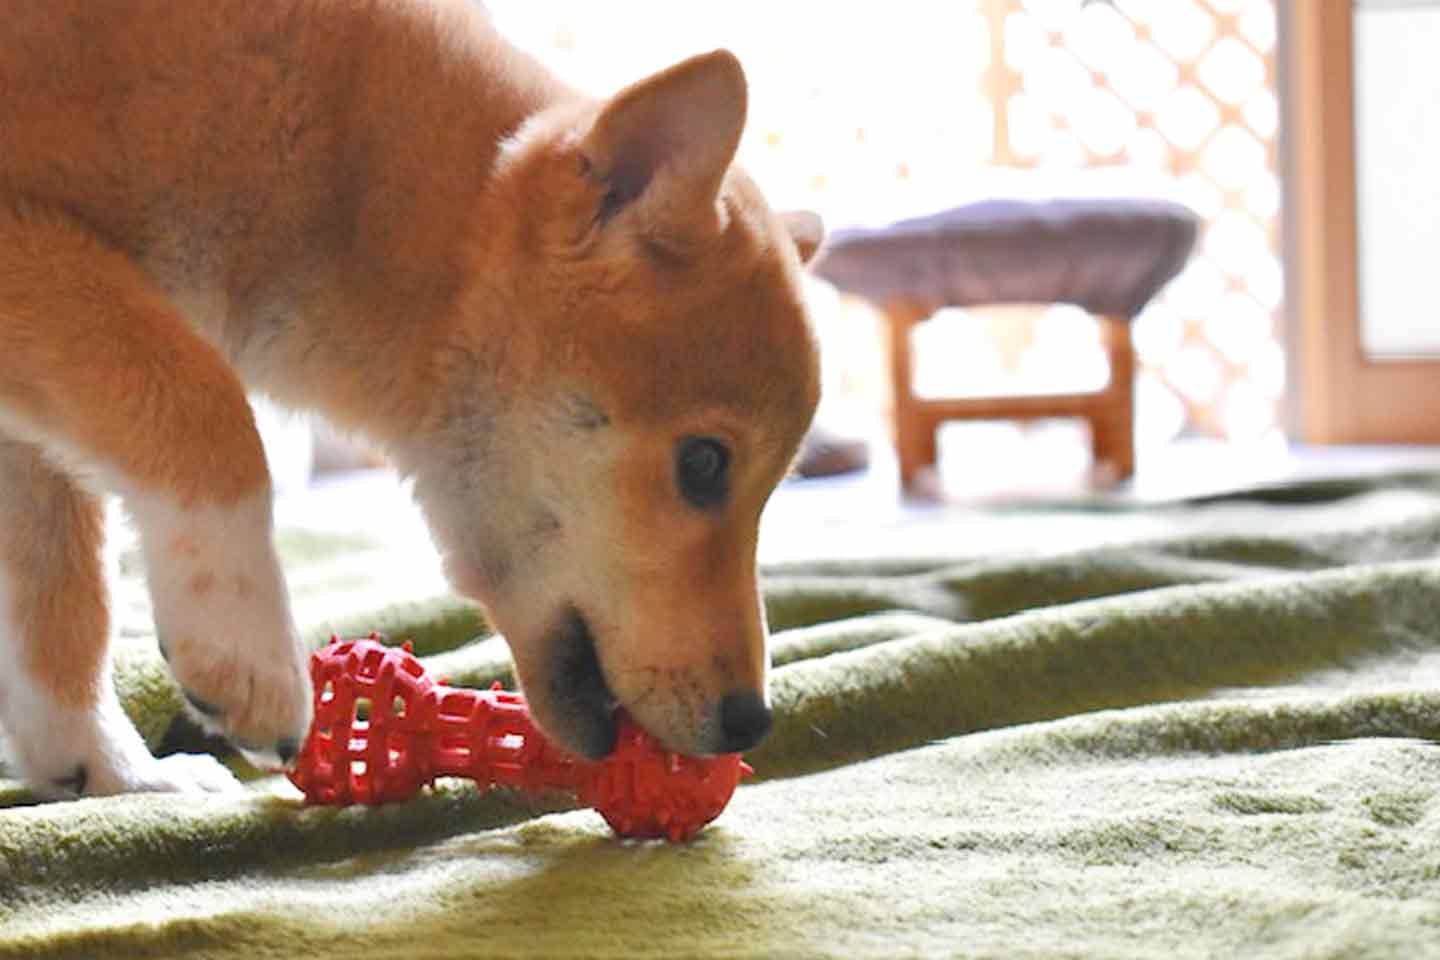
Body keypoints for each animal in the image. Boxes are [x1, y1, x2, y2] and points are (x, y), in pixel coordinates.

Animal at [0, 0, 823, 794]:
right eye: (704, 464)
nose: (753, 722)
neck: (343, 155)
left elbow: (61, 604)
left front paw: (112, 772)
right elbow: (206, 410)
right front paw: (244, 648)